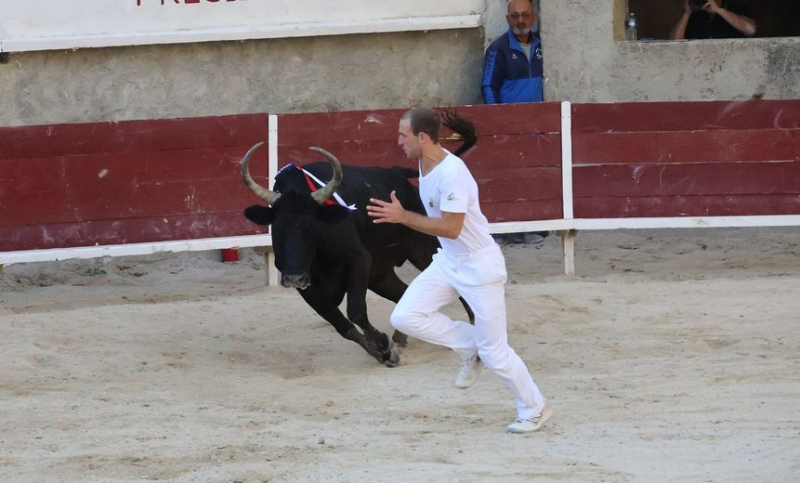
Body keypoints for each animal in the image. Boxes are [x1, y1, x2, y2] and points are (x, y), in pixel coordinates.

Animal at [238, 110, 476, 366]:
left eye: (313, 227)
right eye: (278, 228)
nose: (294, 278)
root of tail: (397, 172)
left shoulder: (359, 260)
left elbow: (355, 310)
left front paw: (382, 344)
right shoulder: (307, 286)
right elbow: (341, 324)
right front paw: (382, 351)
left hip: (423, 249)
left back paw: (473, 325)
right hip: (379, 274)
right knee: (403, 293)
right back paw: (401, 338)